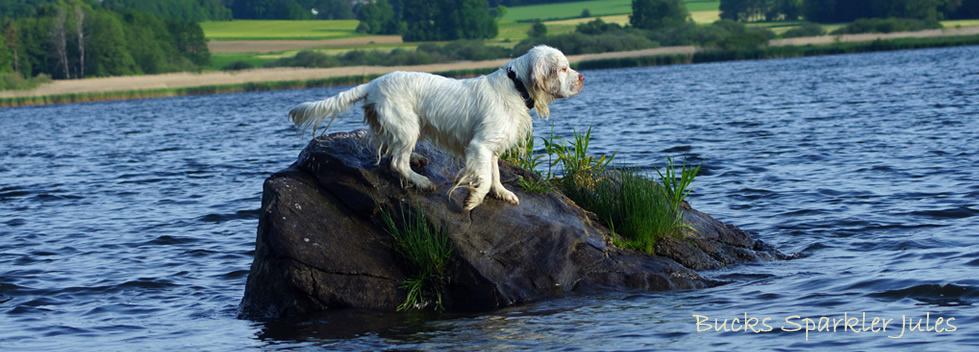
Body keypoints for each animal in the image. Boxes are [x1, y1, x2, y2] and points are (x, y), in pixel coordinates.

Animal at [290, 45, 580, 210]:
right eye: (564, 68)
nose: (582, 78)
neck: (516, 85)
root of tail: (373, 83)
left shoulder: (491, 148)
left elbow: (495, 175)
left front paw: (503, 194)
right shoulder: (479, 146)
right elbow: (485, 178)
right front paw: (473, 200)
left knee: (386, 147)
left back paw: (417, 159)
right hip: (408, 125)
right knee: (396, 162)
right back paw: (421, 181)